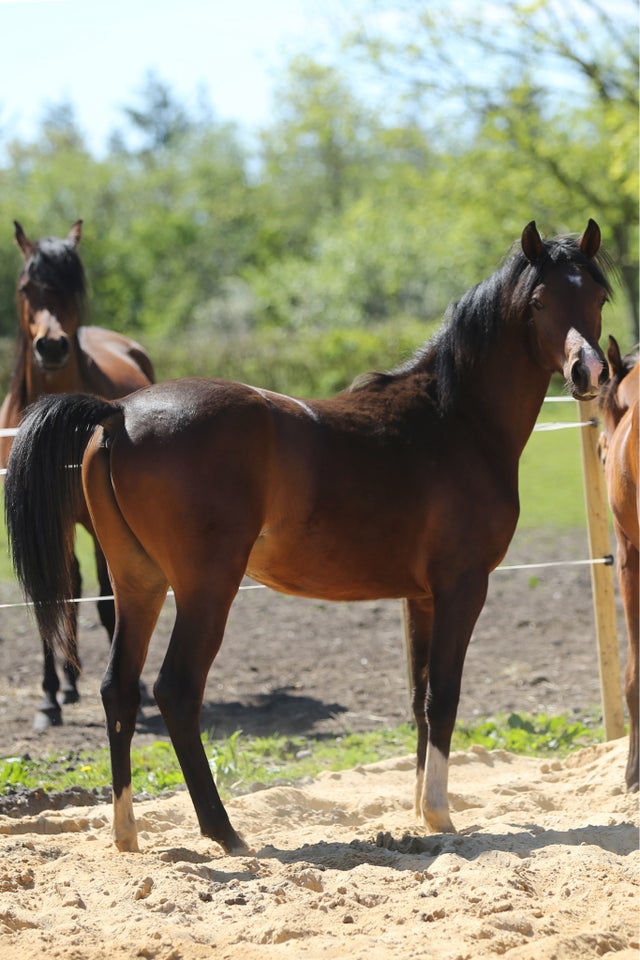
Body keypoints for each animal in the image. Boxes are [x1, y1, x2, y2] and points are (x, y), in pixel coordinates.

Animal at [0, 219, 155, 728]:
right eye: (26, 287)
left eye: (72, 287)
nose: (51, 345)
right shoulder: (39, 519)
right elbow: (51, 594)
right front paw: (49, 697)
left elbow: (109, 599)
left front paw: (133, 688)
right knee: (66, 586)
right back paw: (67, 685)